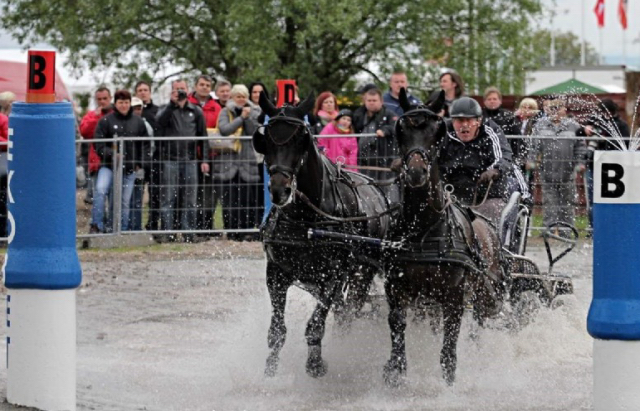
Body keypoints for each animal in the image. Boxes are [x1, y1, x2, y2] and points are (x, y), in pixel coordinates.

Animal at [254, 92, 396, 380]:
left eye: (300, 139)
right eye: (267, 139)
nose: (279, 190)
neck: (305, 218)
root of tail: (375, 187)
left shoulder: (334, 274)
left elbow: (315, 325)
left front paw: (316, 364)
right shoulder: (276, 273)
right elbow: (277, 331)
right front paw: (270, 371)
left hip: (361, 273)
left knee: (349, 312)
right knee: (342, 312)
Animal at [382, 89, 508, 386]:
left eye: (436, 133)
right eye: (401, 130)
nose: (416, 172)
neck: (423, 229)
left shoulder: (453, 296)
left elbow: (449, 345)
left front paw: (448, 382)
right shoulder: (396, 288)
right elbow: (397, 325)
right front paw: (395, 370)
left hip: (484, 293)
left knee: (478, 324)